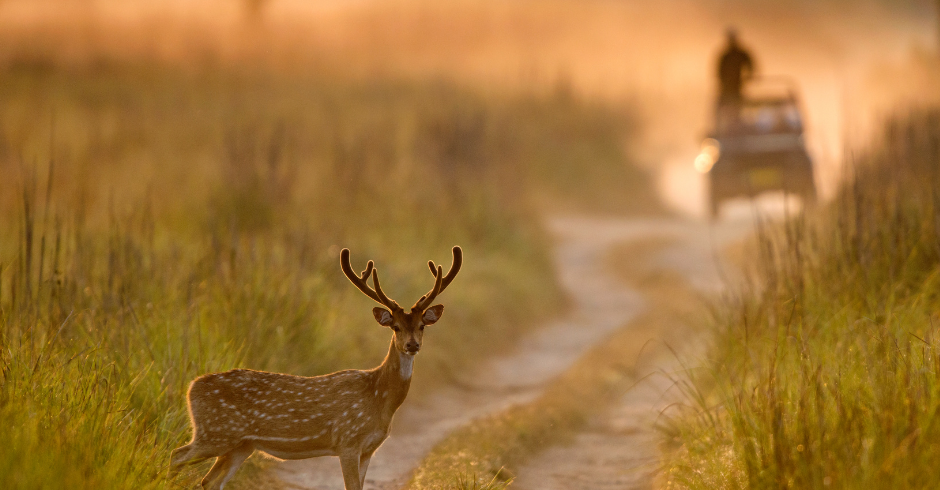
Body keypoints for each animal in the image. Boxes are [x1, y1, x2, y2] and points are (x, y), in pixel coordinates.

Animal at [171, 247, 464, 490]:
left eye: (422, 326)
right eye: (396, 327)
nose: (412, 345)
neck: (379, 399)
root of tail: (191, 387)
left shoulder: (369, 449)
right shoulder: (348, 440)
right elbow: (352, 487)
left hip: (240, 445)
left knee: (209, 481)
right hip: (215, 432)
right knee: (176, 455)